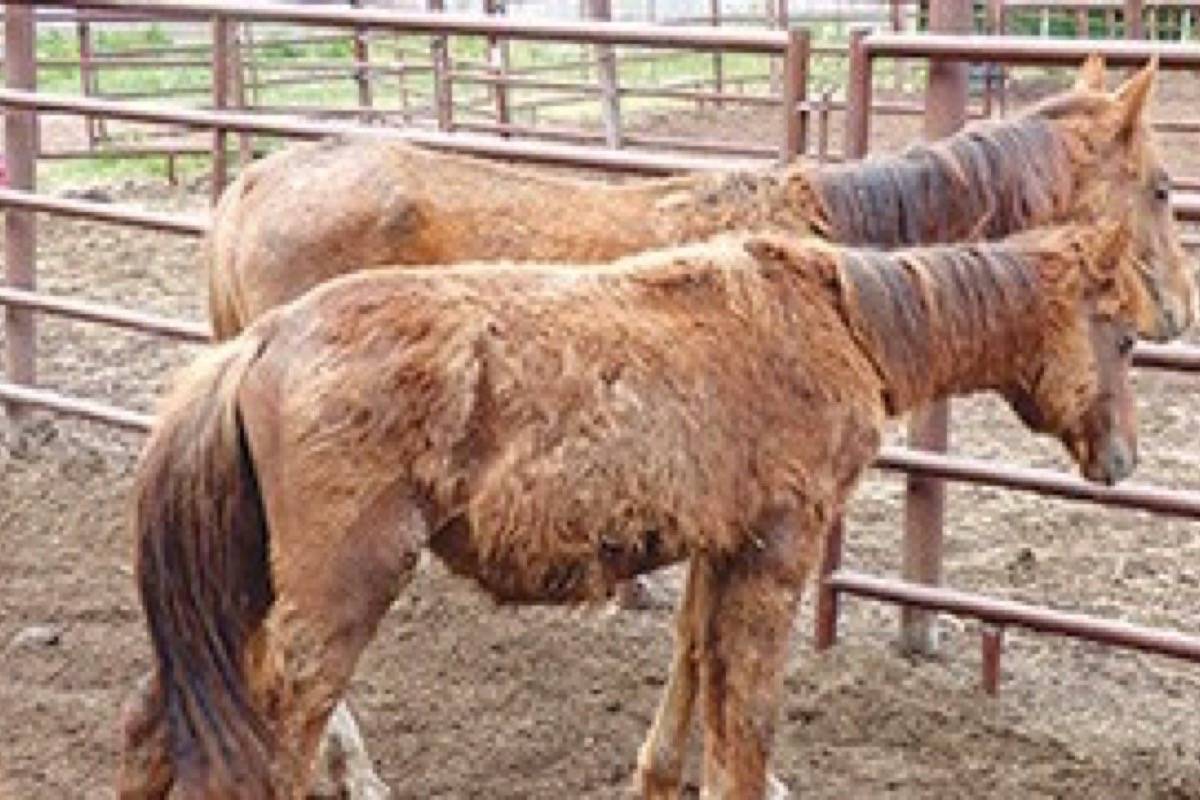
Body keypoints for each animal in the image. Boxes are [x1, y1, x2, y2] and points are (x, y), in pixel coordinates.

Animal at [119, 215, 1152, 796]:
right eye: (1128, 338)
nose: (1123, 461)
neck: (843, 322)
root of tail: (258, 342)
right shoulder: (779, 550)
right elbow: (745, 726)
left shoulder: (718, 546)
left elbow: (693, 670)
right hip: (334, 598)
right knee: (268, 748)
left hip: (245, 588)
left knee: (152, 723)